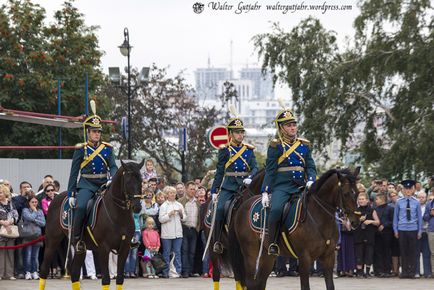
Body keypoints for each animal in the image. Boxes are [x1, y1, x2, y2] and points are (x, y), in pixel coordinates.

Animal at [39, 160, 144, 290]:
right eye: (128, 181)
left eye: (141, 180)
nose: (137, 207)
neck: (118, 214)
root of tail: (55, 197)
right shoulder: (104, 249)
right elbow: (106, 280)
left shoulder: (124, 248)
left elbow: (120, 279)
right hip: (52, 241)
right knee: (44, 270)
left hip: (80, 248)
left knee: (75, 273)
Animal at [225, 168, 362, 290]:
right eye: (346, 194)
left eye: (357, 193)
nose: (355, 221)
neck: (318, 216)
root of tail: (242, 207)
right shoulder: (304, 258)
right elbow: (305, 286)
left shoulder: (328, 257)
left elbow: (330, 286)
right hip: (251, 254)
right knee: (250, 282)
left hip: (267, 256)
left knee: (260, 282)